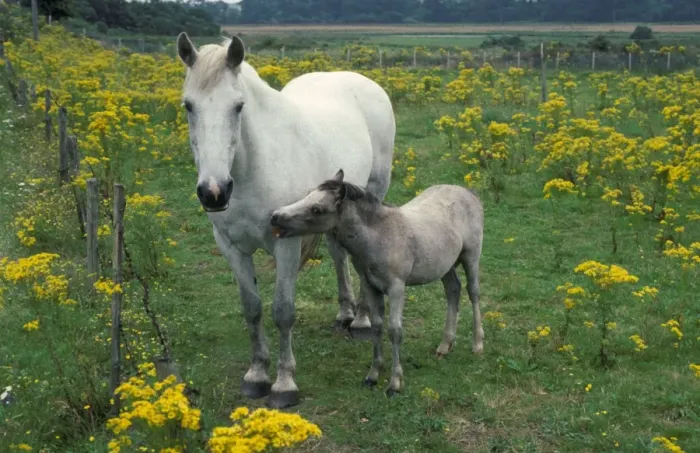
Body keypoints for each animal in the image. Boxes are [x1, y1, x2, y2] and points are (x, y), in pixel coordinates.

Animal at [176, 33, 395, 408]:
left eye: (238, 106)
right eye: (189, 106)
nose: (214, 192)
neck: (253, 169)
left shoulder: (287, 242)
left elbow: (283, 310)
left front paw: (283, 384)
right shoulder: (231, 247)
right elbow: (252, 308)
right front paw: (256, 375)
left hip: (375, 191)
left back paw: (364, 321)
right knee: (339, 254)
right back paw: (345, 315)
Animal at [270, 170, 484, 396]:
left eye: (316, 209)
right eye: (308, 194)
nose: (275, 216)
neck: (378, 236)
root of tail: (468, 193)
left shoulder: (397, 287)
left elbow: (395, 330)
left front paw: (395, 382)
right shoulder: (371, 286)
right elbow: (376, 326)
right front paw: (373, 374)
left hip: (471, 256)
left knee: (473, 292)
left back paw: (477, 344)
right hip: (445, 265)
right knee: (453, 289)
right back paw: (444, 346)